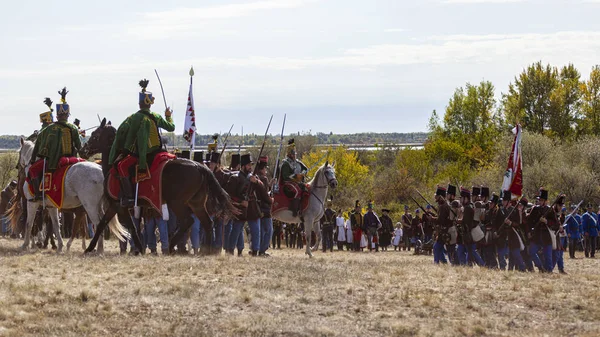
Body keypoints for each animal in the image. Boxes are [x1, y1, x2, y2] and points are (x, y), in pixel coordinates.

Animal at [79, 117, 237, 252]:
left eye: (95, 135)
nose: (82, 150)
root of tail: (199, 166)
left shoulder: (119, 205)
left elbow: (127, 227)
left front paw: (90, 249)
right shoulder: (115, 206)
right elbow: (105, 224)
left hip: (177, 203)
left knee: (187, 221)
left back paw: (172, 246)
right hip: (196, 203)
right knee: (207, 223)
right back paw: (205, 251)